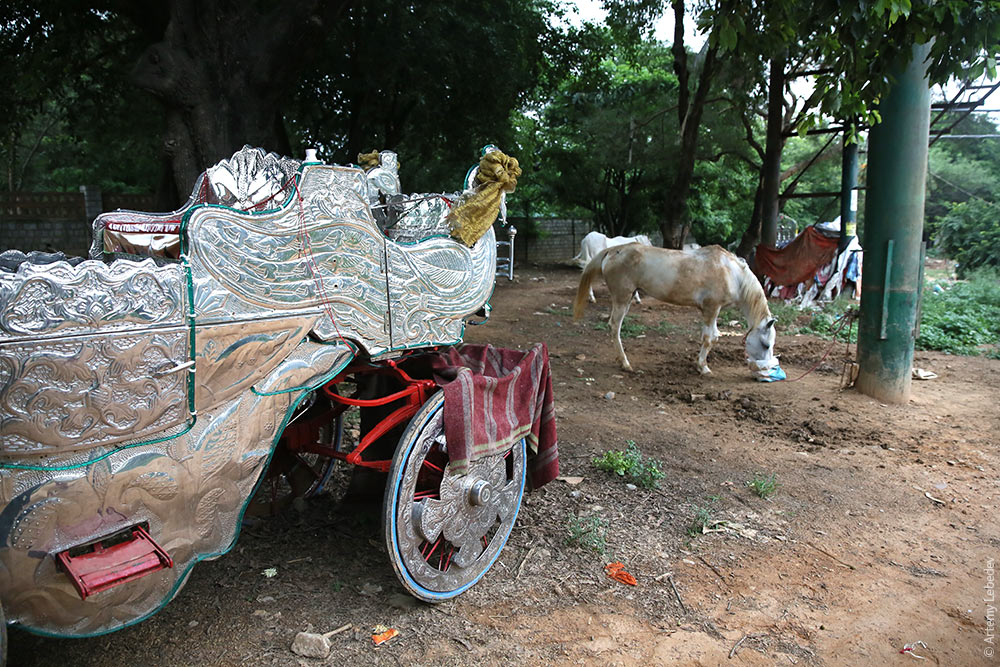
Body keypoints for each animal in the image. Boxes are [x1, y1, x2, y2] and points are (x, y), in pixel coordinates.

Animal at [576, 245, 776, 378]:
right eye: (766, 344)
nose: (766, 370)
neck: (731, 273)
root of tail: (613, 250)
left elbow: (711, 337)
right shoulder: (711, 309)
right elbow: (710, 338)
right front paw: (703, 367)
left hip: (628, 298)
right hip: (622, 298)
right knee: (615, 327)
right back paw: (625, 363)